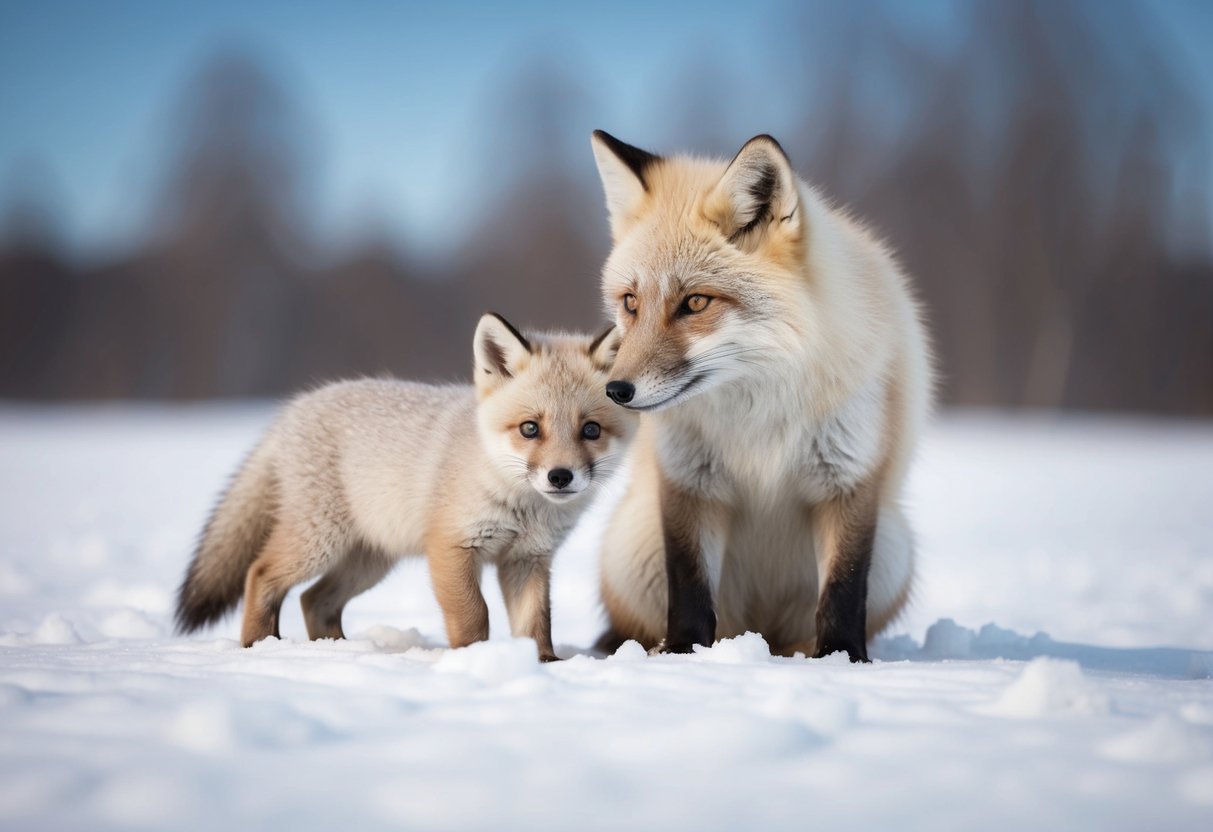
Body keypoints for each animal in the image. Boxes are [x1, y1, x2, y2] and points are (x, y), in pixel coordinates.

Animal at [174, 312, 634, 661]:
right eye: (530, 428)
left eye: (591, 430)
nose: (560, 476)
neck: (520, 503)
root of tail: (295, 408)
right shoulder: (452, 547)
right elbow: (474, 615)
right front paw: (472, 660)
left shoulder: (527, 559)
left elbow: (536, 624)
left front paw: (542, 665)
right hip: (320, 542)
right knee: (261, 574)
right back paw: (259, 647)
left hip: (368, 559)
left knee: (314, 600)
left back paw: (337, 651)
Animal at [588, 131, 933, 661]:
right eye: (630, 302)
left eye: (695, 302)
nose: (616, 390)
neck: (757, 411)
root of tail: (761, 632)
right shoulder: (689, 481)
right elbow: (689, 588)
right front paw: (682, 655)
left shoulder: (849, 478)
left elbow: (844, 590)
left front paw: (843, 659)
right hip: (631, 545)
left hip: (895, 550)